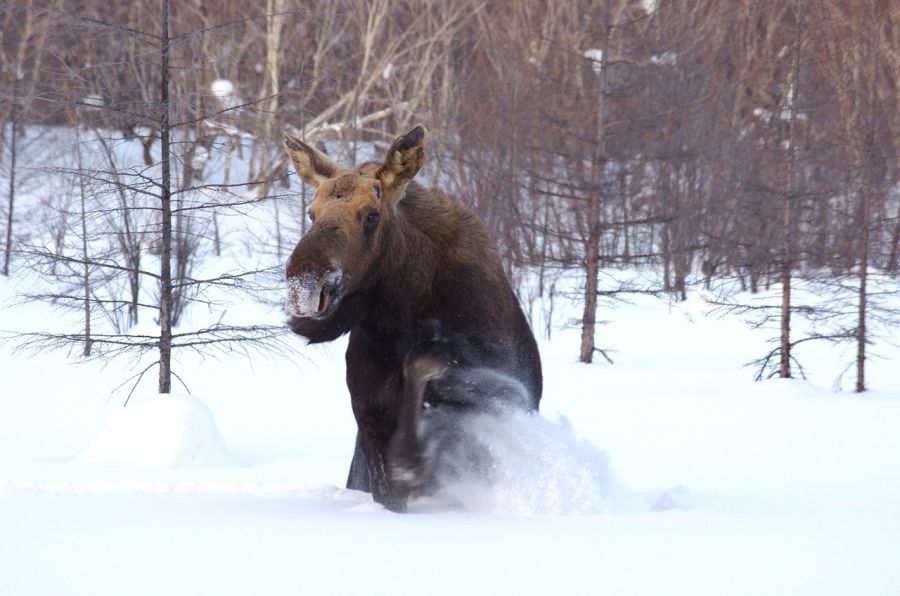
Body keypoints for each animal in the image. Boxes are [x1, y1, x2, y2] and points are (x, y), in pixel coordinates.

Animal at [284, 125, 540, 512]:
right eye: (312, 213)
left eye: (372, 215)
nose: (305, 285)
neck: (399, 320)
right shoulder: (368, 418)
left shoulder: (507, 393)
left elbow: (423, 360)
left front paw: (410, 457)